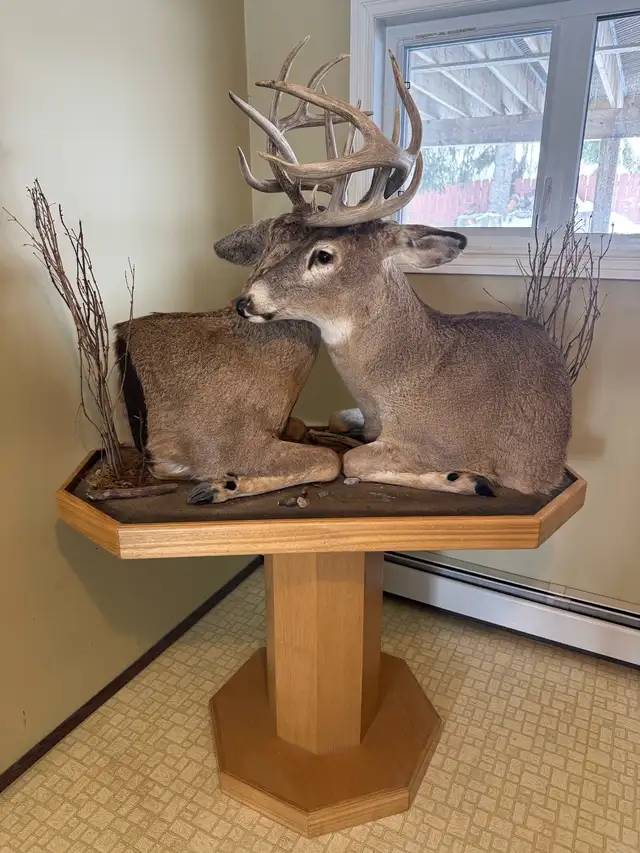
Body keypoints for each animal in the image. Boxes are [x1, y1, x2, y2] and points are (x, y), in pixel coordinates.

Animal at [217, 39, 572, 498]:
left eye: (324, 255)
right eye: (285, 243)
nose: (245, 301)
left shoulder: (443, 441)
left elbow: (351, 459)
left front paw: (462, 476)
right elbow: (337, 422)